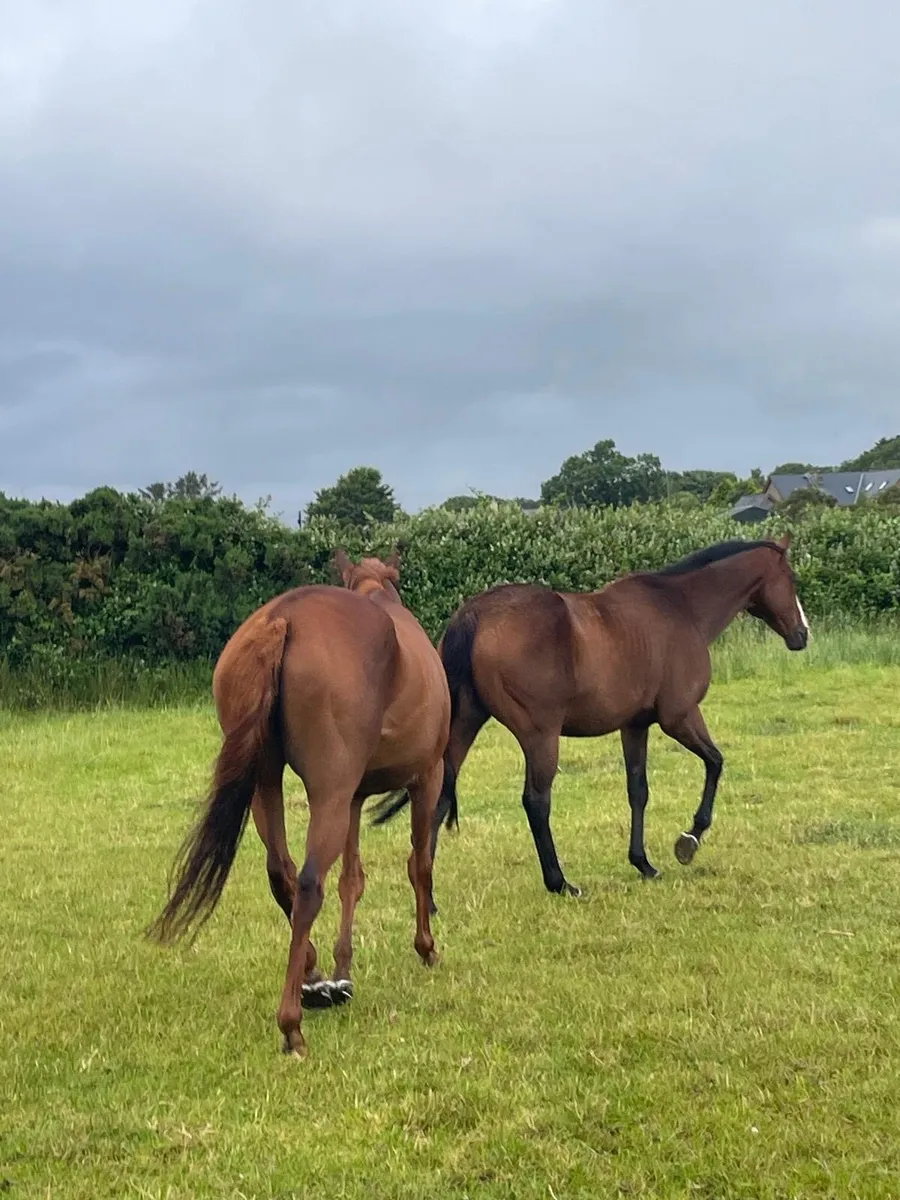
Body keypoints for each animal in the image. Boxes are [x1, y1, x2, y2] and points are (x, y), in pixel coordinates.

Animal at [147, 549, 451, 1058]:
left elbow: (352, 880)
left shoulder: (353, 798)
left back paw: (313, 978)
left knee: (281, 871)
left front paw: (342, 970)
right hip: (329, 792)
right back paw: (292, 1022)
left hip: (267, 786)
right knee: (308, 883)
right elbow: (419, 865)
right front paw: (426, 946)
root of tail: (282, 619)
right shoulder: (426, 777)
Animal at [372, 534, 808, 904]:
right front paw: (689, 840)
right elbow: (715, 763)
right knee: (536, 801)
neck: (681, 608)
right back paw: (560, 882)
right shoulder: (679, 717)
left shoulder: (635, 726)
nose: (802, 635)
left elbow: (638, 790)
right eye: (791, 578)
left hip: (464, 725)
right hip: (540, 735)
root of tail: (476, 615)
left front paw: (643, 863)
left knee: (439, 797)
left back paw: (430, 901)